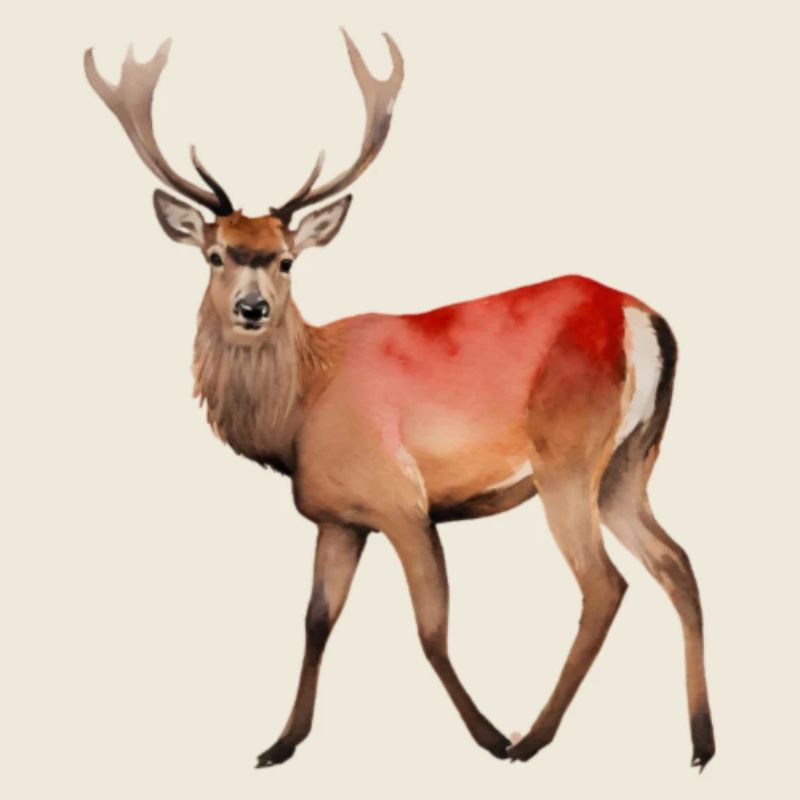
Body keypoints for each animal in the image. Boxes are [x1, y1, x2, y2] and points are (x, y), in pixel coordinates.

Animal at [83, 32, 715, 771]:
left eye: (287, 259)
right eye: (216, 255)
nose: (252, 307)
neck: (300, 414)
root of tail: (643, 319)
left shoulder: (401, 500)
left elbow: (431, 627)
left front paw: (488, 734)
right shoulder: (337, 517)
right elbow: (317, 620)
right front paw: (281, 744)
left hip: (569, 457)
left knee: (604, 584)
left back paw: (531, 738)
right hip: (629, 463)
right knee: (676, 563)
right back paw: (701, 741)